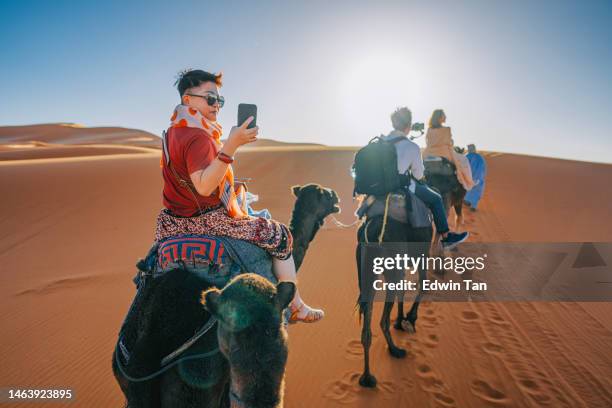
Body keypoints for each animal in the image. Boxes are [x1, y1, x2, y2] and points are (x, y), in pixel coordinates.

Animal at [356, 212, 432, 388]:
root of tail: (373, 232)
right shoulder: (422, 254)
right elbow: (424, 285)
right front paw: (410, 319)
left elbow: (402, 292)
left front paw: (399, 321)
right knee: (383, 319)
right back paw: (395, 350)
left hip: (367, 272)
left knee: (368, 320)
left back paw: (367, 377)